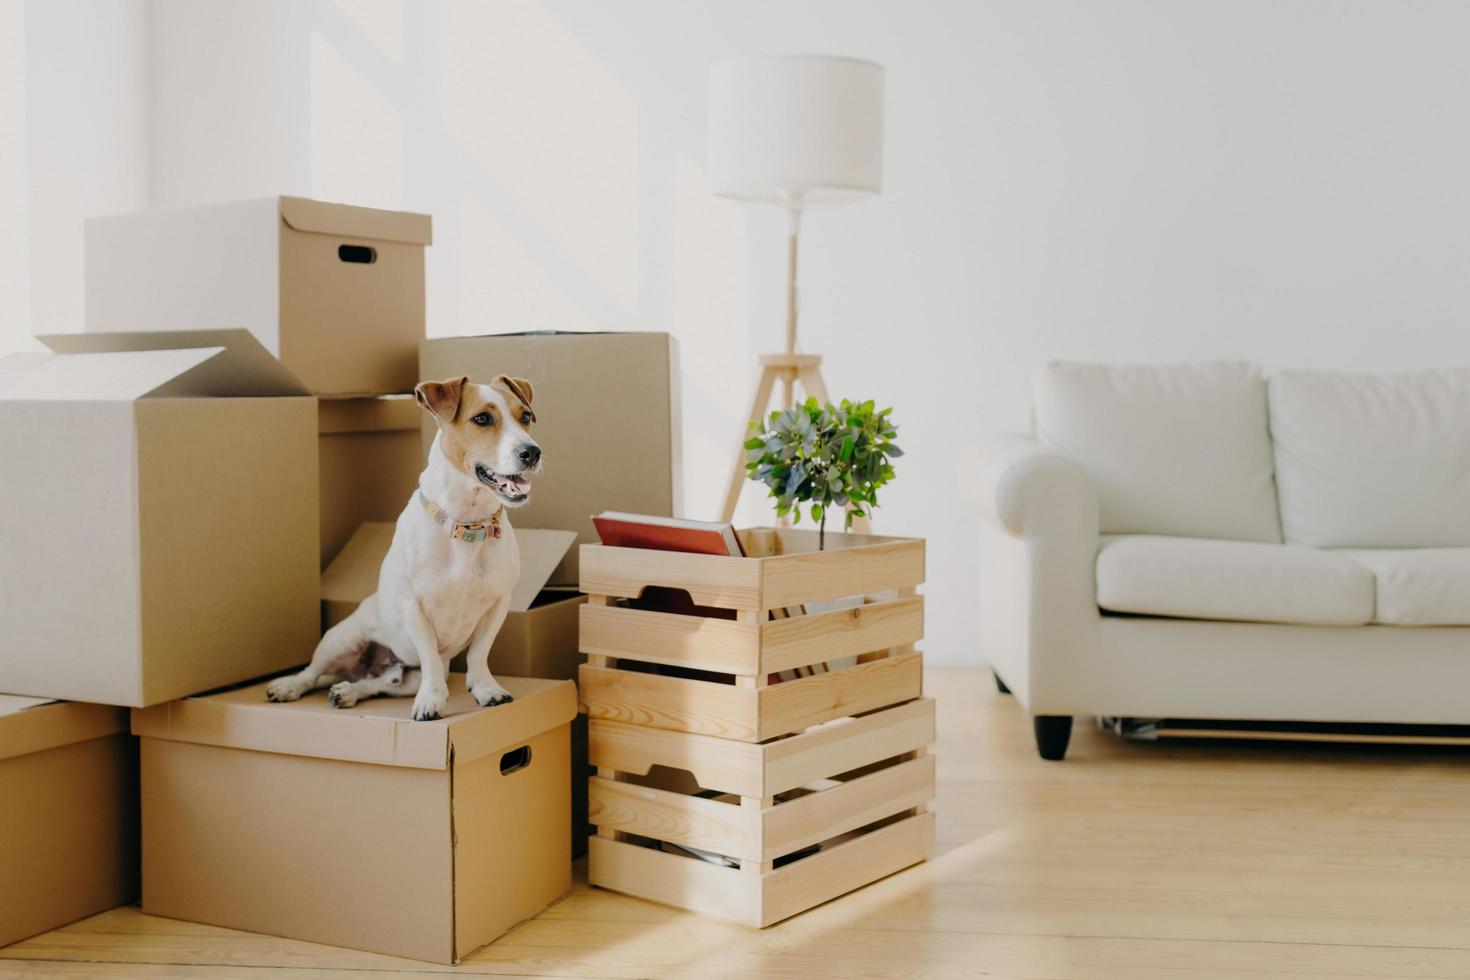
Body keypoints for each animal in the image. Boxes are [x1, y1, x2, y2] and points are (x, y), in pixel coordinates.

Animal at [266, 376, 540, 719]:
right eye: (482, 418)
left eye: (525, 416)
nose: (532, 452)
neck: (466, 525)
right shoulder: (415, 606)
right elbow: (431, 657)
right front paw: (431, 700)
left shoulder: (497, 604)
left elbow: (479, 652)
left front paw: (485, 688)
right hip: (338, 640)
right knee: (313, 673)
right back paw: (290, 686)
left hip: (406, 676)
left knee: (381, 683)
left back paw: (349, 691)